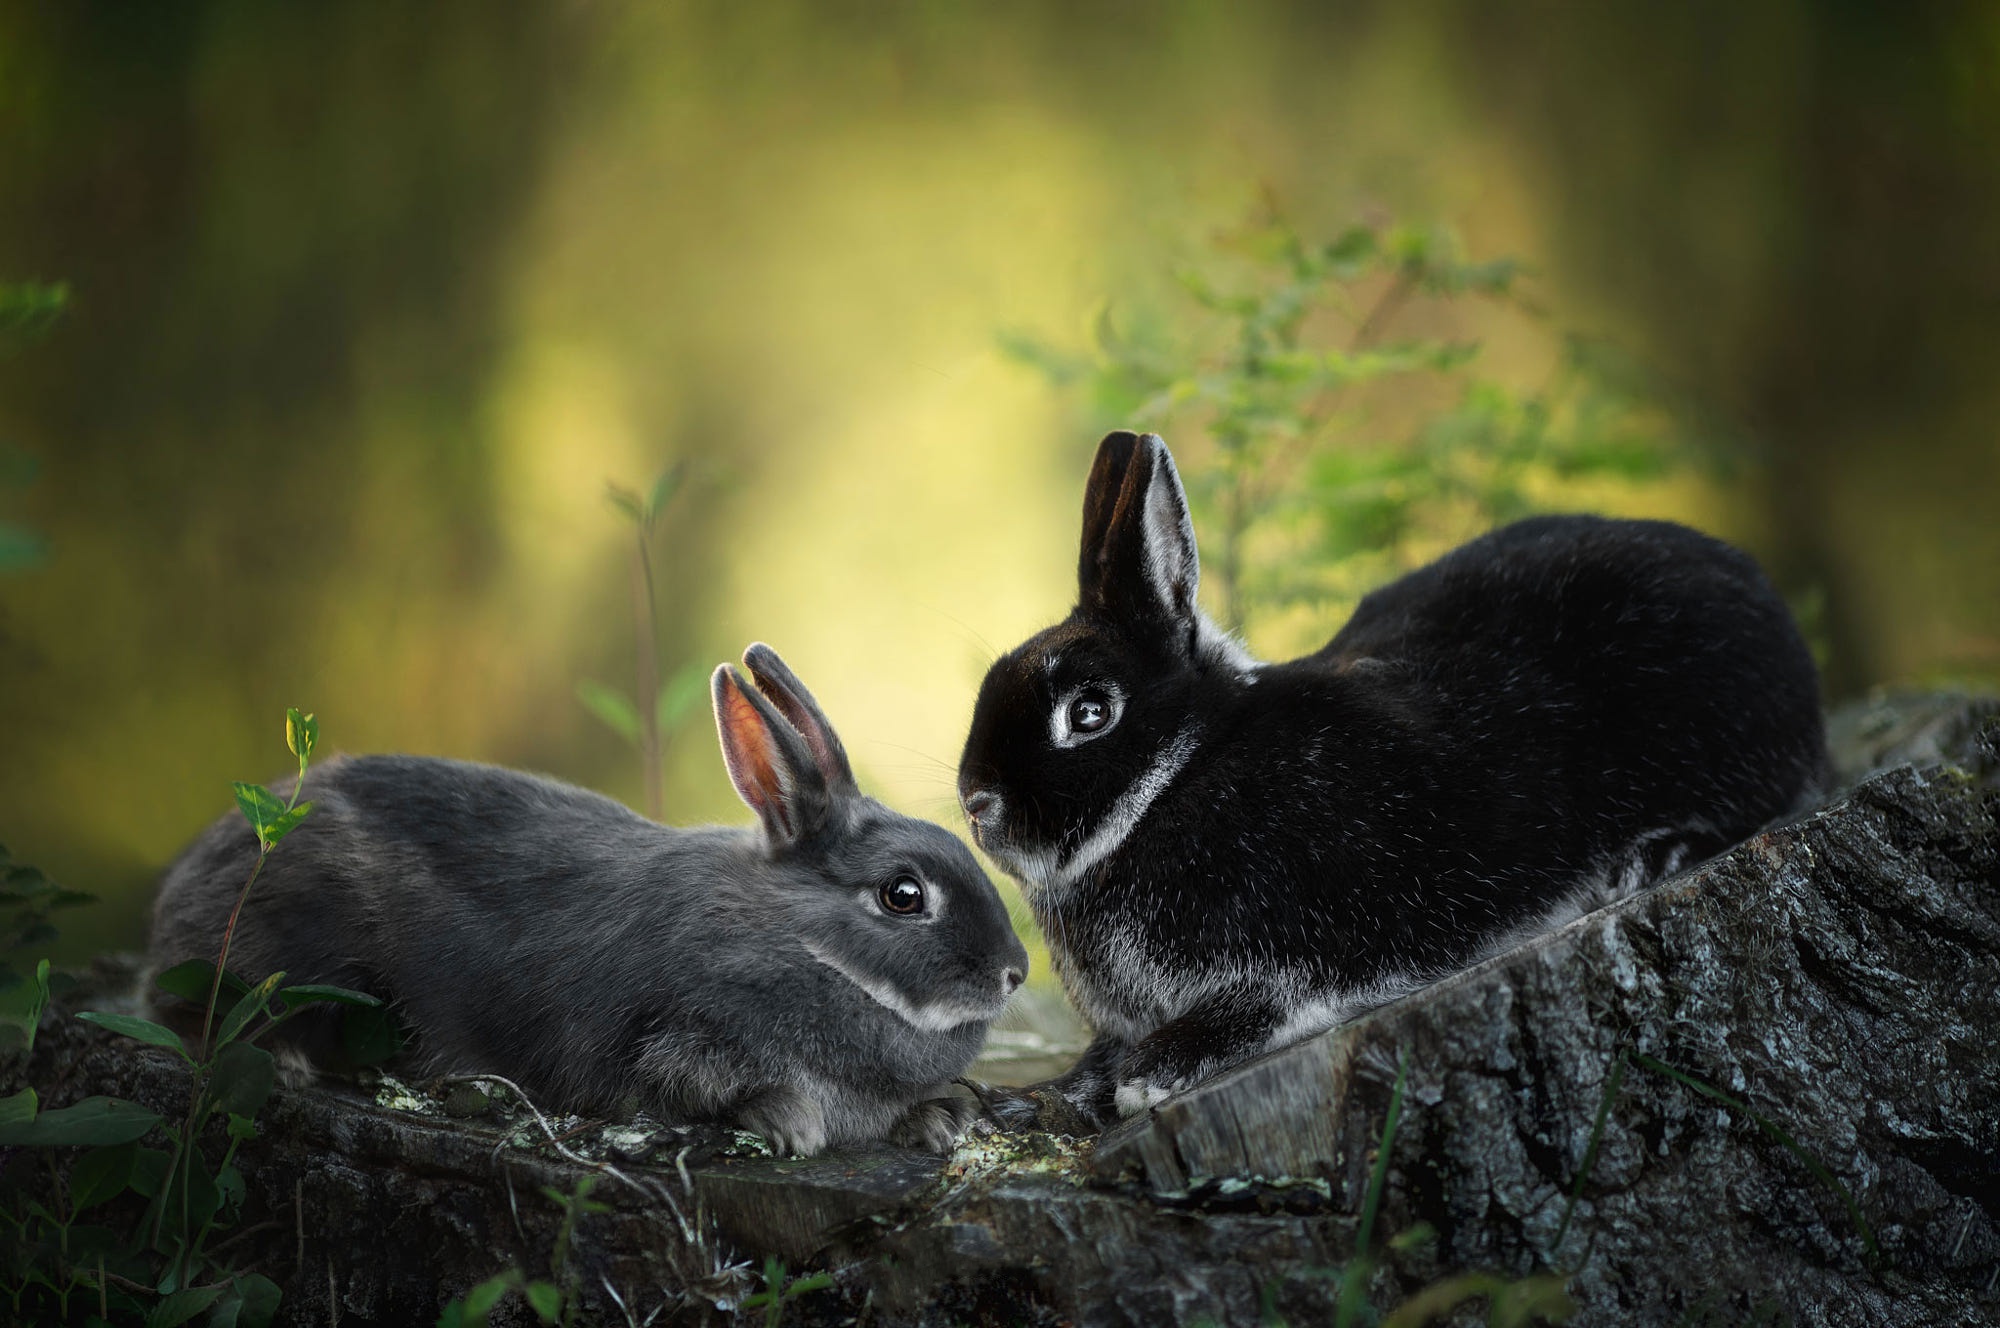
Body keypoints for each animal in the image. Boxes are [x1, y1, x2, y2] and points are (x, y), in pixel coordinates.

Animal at [152, 644, 1032, 1152]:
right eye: (903, 895)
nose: (1015, 972)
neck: (804, 944)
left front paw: (940, 1122)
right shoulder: (679, 1039)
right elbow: (705, 1087)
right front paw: (793, 1125)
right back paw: (285, 1059)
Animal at [964, 434, 1832, 1120]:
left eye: (1090, 712)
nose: (977, 803)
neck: (1184, 770)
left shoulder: (1318, 945)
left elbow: (1266, 1003)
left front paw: (1155, 1074)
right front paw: (1042, 1095)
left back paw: (1649, 859)